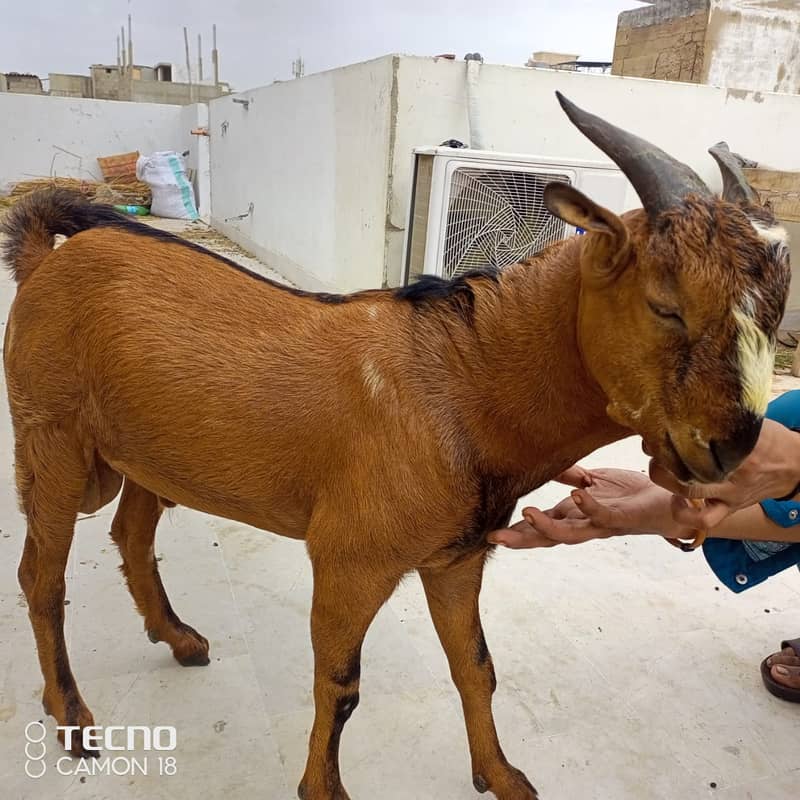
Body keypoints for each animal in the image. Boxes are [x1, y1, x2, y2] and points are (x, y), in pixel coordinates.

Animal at [1, 93, 790, 800]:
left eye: (775, 320)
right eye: (665, 306)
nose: (730, 450)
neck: (464, 384)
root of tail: (45, 260)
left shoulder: (457, 555)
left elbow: (477, 666)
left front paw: (503, 777)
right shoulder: (352, 558)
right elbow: (342, 684)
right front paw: (324, 790)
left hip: (147, 454)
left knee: (132, 534)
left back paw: (180, 639)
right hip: (50, 437)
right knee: (41, 575)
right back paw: (71, 715)